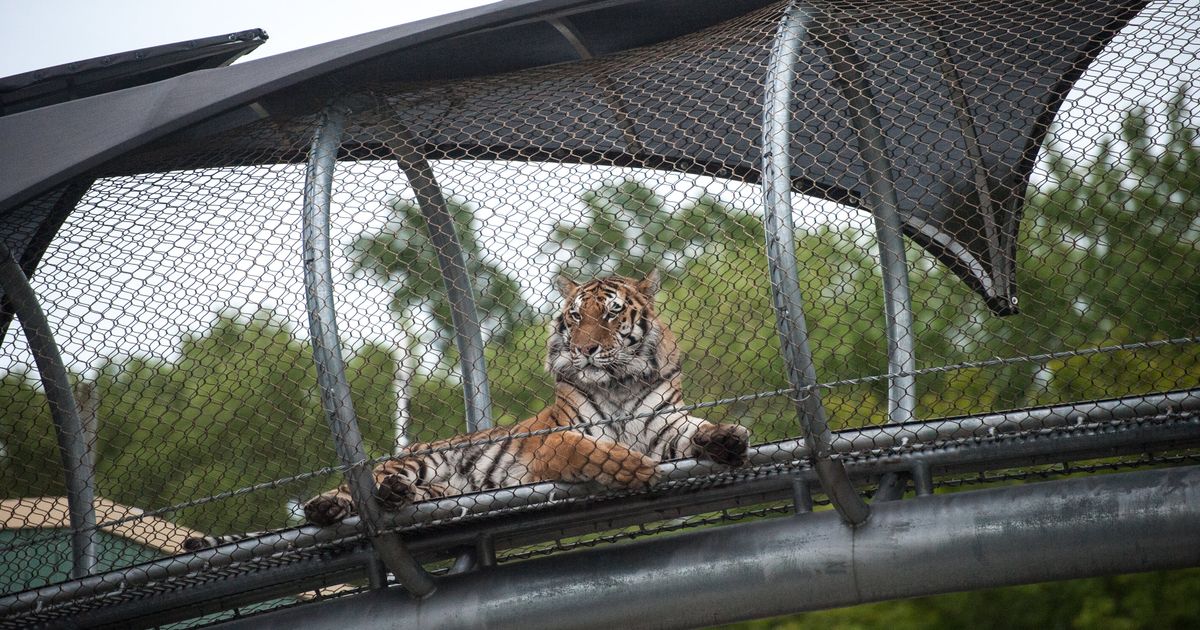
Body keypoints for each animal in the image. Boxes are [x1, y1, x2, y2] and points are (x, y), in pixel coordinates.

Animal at [183, 272, 749, 550]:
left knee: (404, 494)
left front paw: (728, 437)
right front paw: (628, 468)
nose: (585, 349)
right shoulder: (551, 440)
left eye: (611, 315)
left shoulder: (665, 424)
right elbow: (586, 449)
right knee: (352, 491)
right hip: (418, 459)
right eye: (574, 317)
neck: (620, 384)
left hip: (442, 485)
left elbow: (696, 431)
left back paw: (394, 497)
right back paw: (331, 506)